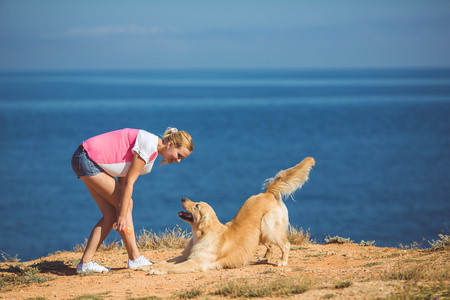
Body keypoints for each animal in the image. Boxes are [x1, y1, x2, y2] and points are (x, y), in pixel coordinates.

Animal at [139, 157, 314, 274]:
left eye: (196, 206)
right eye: (196, 202)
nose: (182, 198)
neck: (200, 236)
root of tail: (267, 192)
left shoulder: (195, 262)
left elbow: (172, 267)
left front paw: (158, 271)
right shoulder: (184, 256)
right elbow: (165, 261)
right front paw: (148, 266)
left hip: (269, 227)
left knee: (285, 244)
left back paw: (282, 261)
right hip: (261, 233)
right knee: (270, 246)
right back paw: (264, 259)